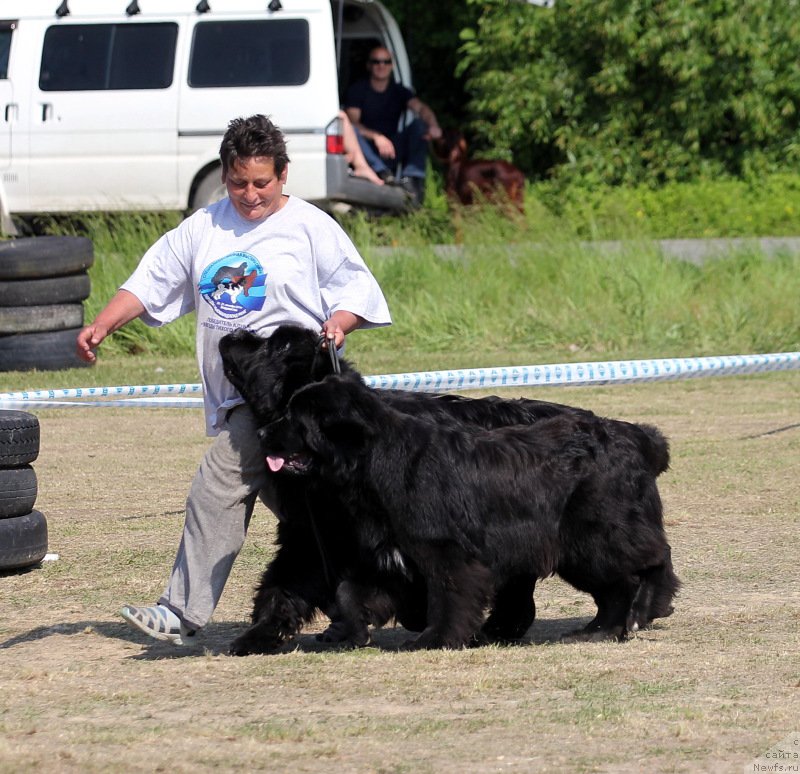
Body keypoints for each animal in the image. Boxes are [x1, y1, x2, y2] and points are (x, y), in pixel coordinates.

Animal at [220, 324, 680, 656]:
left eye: (278, 345)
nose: (234, 334)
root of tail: (635, 433)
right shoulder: (317, 537)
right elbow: (293, 586)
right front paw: (264, 634)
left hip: (588, 538)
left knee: (646, 563)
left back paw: (641, 609)